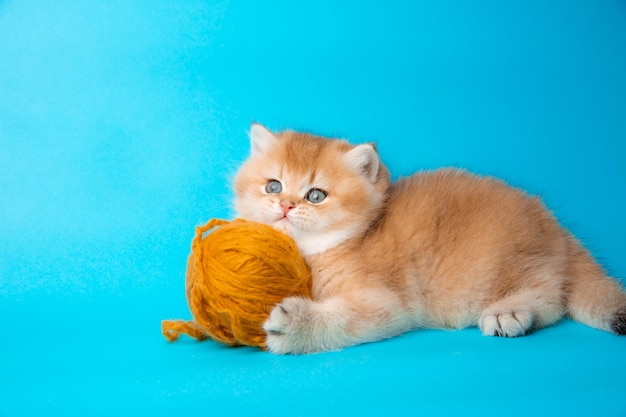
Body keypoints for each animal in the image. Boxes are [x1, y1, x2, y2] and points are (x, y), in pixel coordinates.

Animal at [233, 122, 624, 352]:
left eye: (315, 195)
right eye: (273, 186)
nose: (285, 205)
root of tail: (556, 227)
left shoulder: (388, 304)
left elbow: (345, 318)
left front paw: (294, 326)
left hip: (511, 262)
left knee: (552, 297)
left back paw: (509, 312)